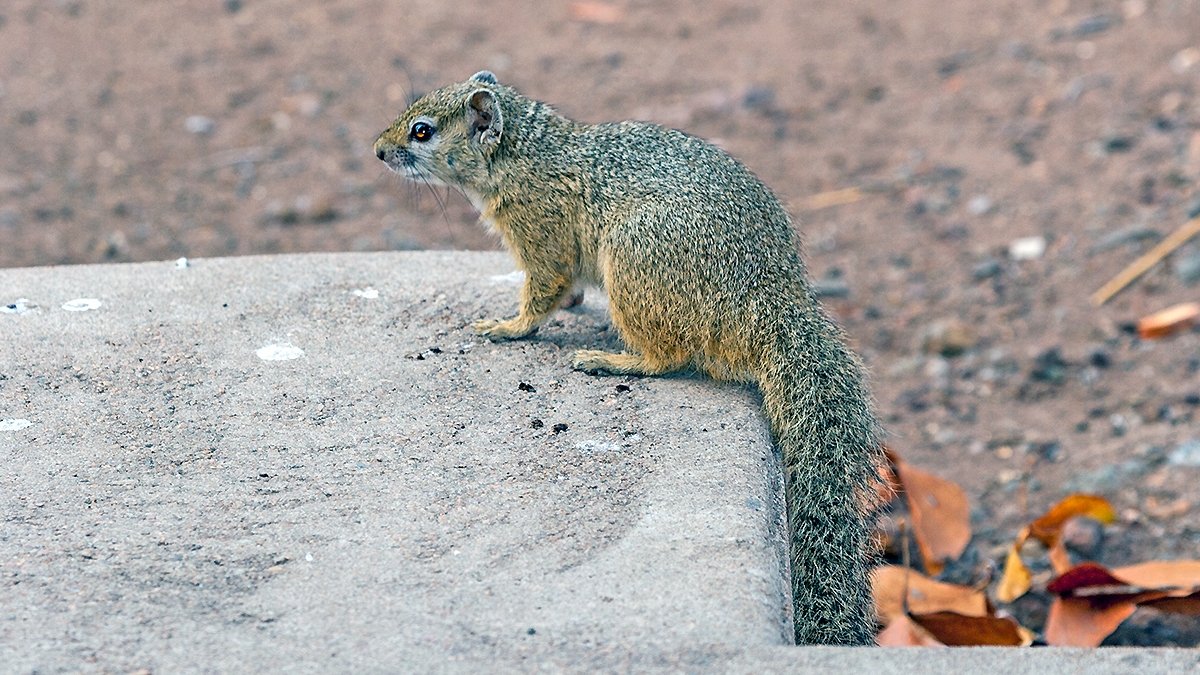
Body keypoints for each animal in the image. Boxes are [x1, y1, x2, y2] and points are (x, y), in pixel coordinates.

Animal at [374, 71, 883, 646]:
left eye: (422, 131)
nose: (378, 151)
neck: (526, 154)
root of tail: (764, 295)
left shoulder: (542, 230)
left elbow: (543, 291)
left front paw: (506, 327)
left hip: (634, 261)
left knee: (670, 355)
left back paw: (610, 360)